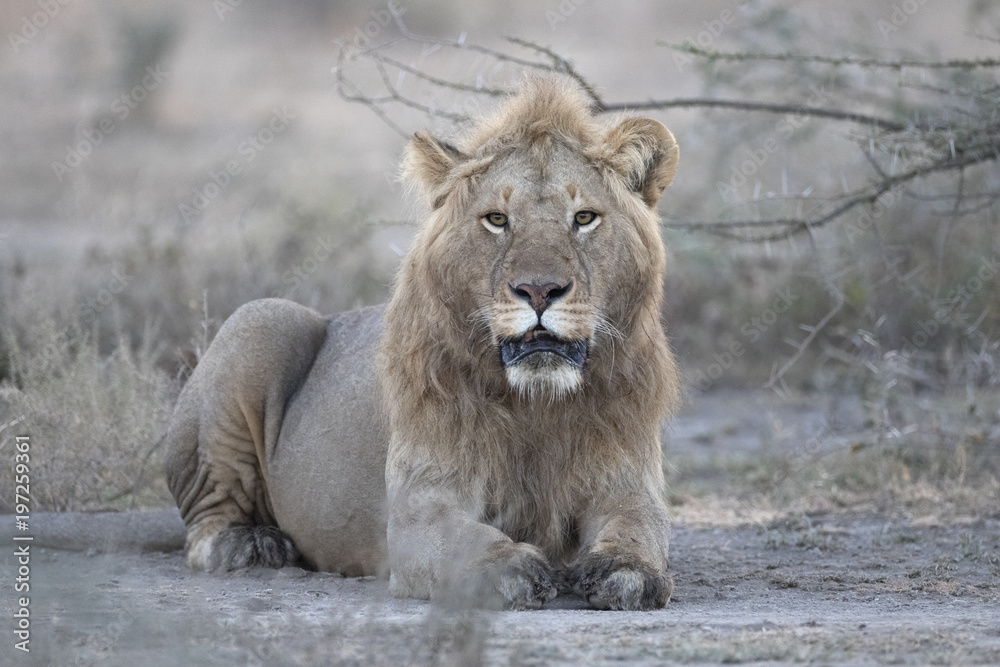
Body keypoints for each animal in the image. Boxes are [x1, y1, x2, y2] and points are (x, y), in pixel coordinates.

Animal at [163, 74, 681, 610]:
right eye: (497, 219)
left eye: (583, 218)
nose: (539, 290)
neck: (536, 402)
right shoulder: (420, 507)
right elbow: (465, 539)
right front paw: (510, 566)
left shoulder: (627, 484)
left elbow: (640, 529)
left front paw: (626, 570)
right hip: (261, 319)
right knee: (205, 524)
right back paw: (252, 544)